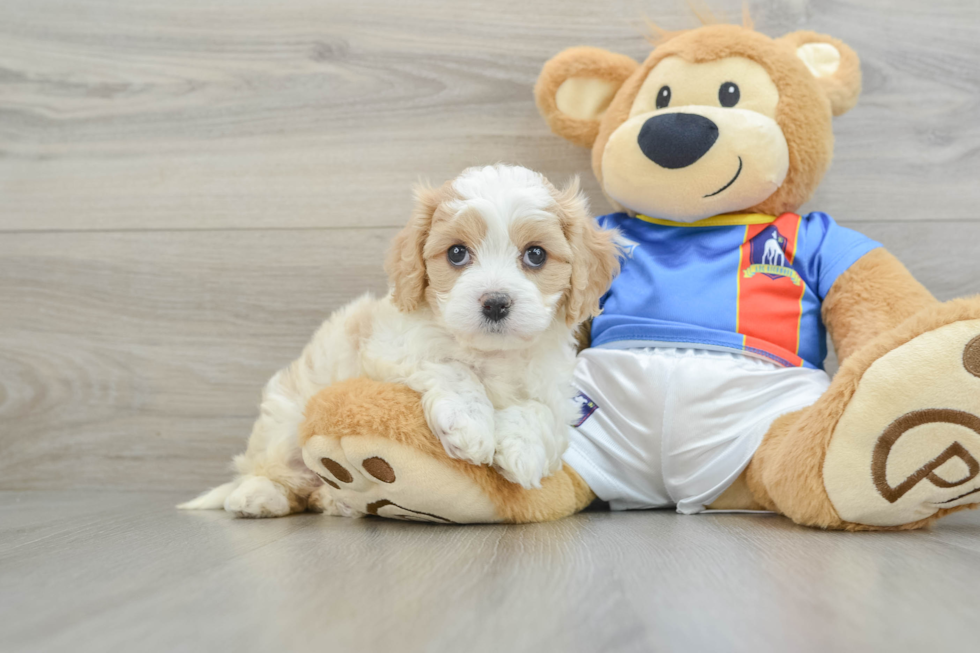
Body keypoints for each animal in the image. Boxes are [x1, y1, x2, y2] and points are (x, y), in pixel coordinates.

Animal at [179, 163, 620, 516]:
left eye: (536, 255)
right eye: (457, 253)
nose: (495, 303)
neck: (492, 353)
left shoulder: (556, 390)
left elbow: (542, 413)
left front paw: (522, 450)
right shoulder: (390, 348)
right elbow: (454, 368)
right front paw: (471, 424)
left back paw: (333, 499)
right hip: (285, 422)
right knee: (272, 469)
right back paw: (257, 496)